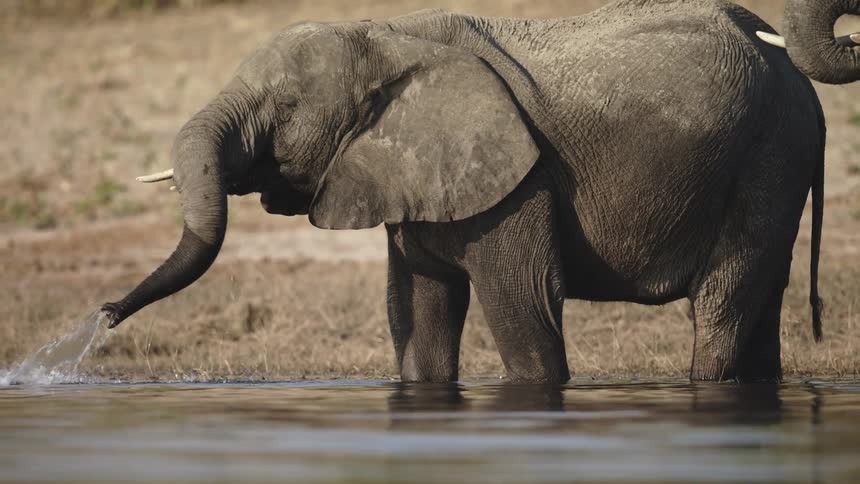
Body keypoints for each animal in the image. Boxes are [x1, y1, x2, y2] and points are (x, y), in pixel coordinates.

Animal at [102, 0, 844, 383]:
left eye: (281, 110)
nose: (105, 313)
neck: (386, 34)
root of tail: (802, 82)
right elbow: (420, 316)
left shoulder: (521, 179)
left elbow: (524, 307)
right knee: (760, 306)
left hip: (765, 156)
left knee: (725, 300)